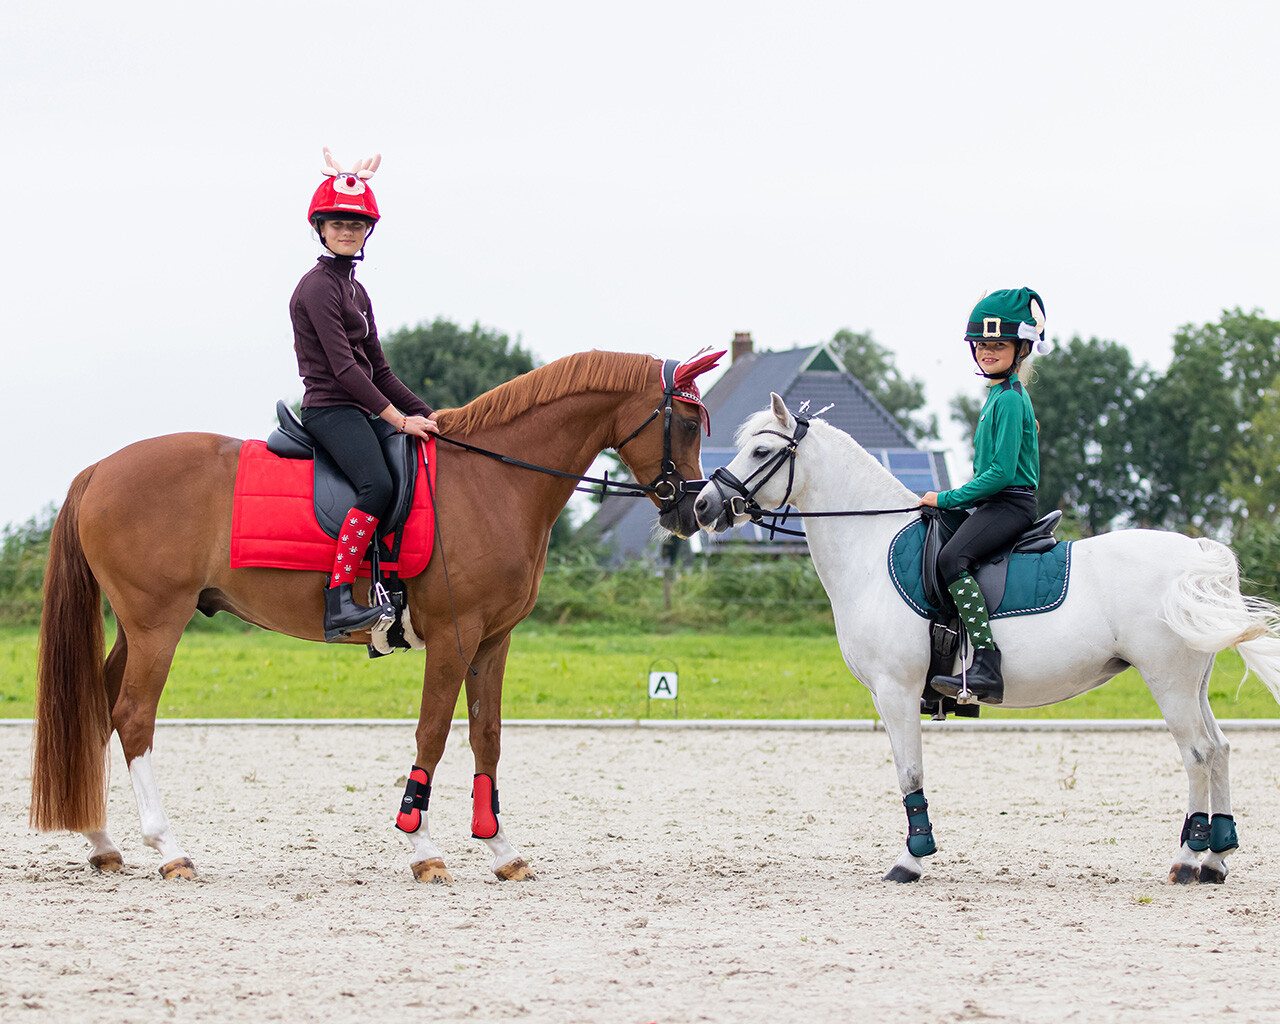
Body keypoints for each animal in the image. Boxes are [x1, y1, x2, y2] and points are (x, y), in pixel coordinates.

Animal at [27, 350, 721, 880]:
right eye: (687, 423)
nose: (694, 510)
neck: (493, 481)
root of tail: (101, 469)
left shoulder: (493, 642)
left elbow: (488, 736)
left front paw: (502, 849)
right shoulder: (456, 637)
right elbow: (433, 733)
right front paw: (422, 846)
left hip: (136, 628)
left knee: (100, 706)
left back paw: (103, 843)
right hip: (158, 625)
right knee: (132, 715)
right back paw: (169, 849)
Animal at [696, 396, 1280, 885]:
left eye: (761, 450)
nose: (703, 507)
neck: (872, 547)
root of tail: (1195, 555)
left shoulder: (895, 690)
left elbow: (909, 771)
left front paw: (911, 860)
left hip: (1169, 681)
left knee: (1198, 753)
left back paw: (1188, 859)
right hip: (1193, 683)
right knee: (1220, 749)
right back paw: (1216, 859)